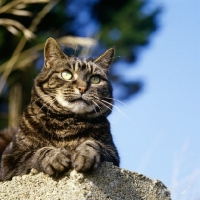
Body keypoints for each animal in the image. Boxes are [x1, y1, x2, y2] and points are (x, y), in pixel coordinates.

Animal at [0, 37, 119, 181]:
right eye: (66, 74)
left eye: (95, 79)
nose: (82, 88)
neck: (66, 124)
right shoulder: (9, 159)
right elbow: (36, 152)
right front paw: (55, 157)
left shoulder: (113, 153)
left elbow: (94, 143)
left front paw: (84, 154)